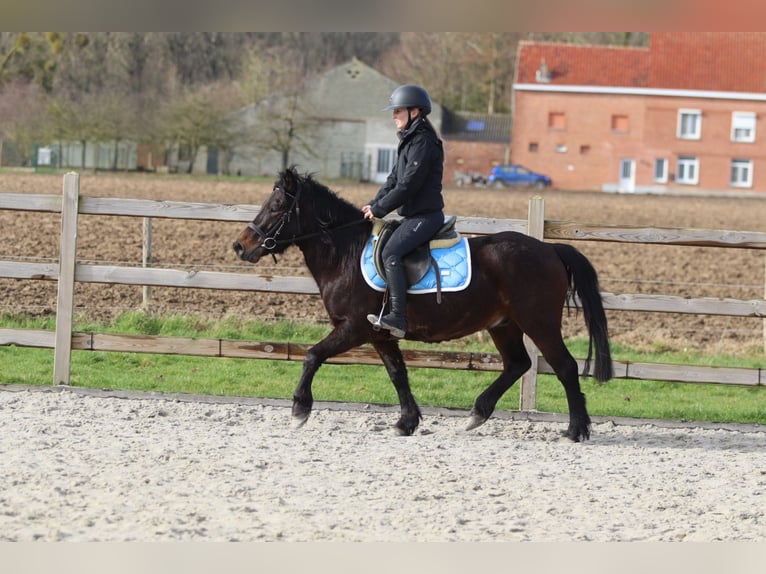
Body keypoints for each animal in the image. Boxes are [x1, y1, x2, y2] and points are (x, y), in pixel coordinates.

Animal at [233, 167, 613, 442]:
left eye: (276, 207)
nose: (240, 246)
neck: (346, 254)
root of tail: (549, 248)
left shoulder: (354, 327)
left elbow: (312, 356)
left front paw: (299, 411)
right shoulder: (380, 334)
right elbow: (397, 373)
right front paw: (407, 422)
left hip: (538, 322)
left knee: (564, 367)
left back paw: (576, 430)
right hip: (504, 325)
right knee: (517, 364)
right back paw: (477, 414)